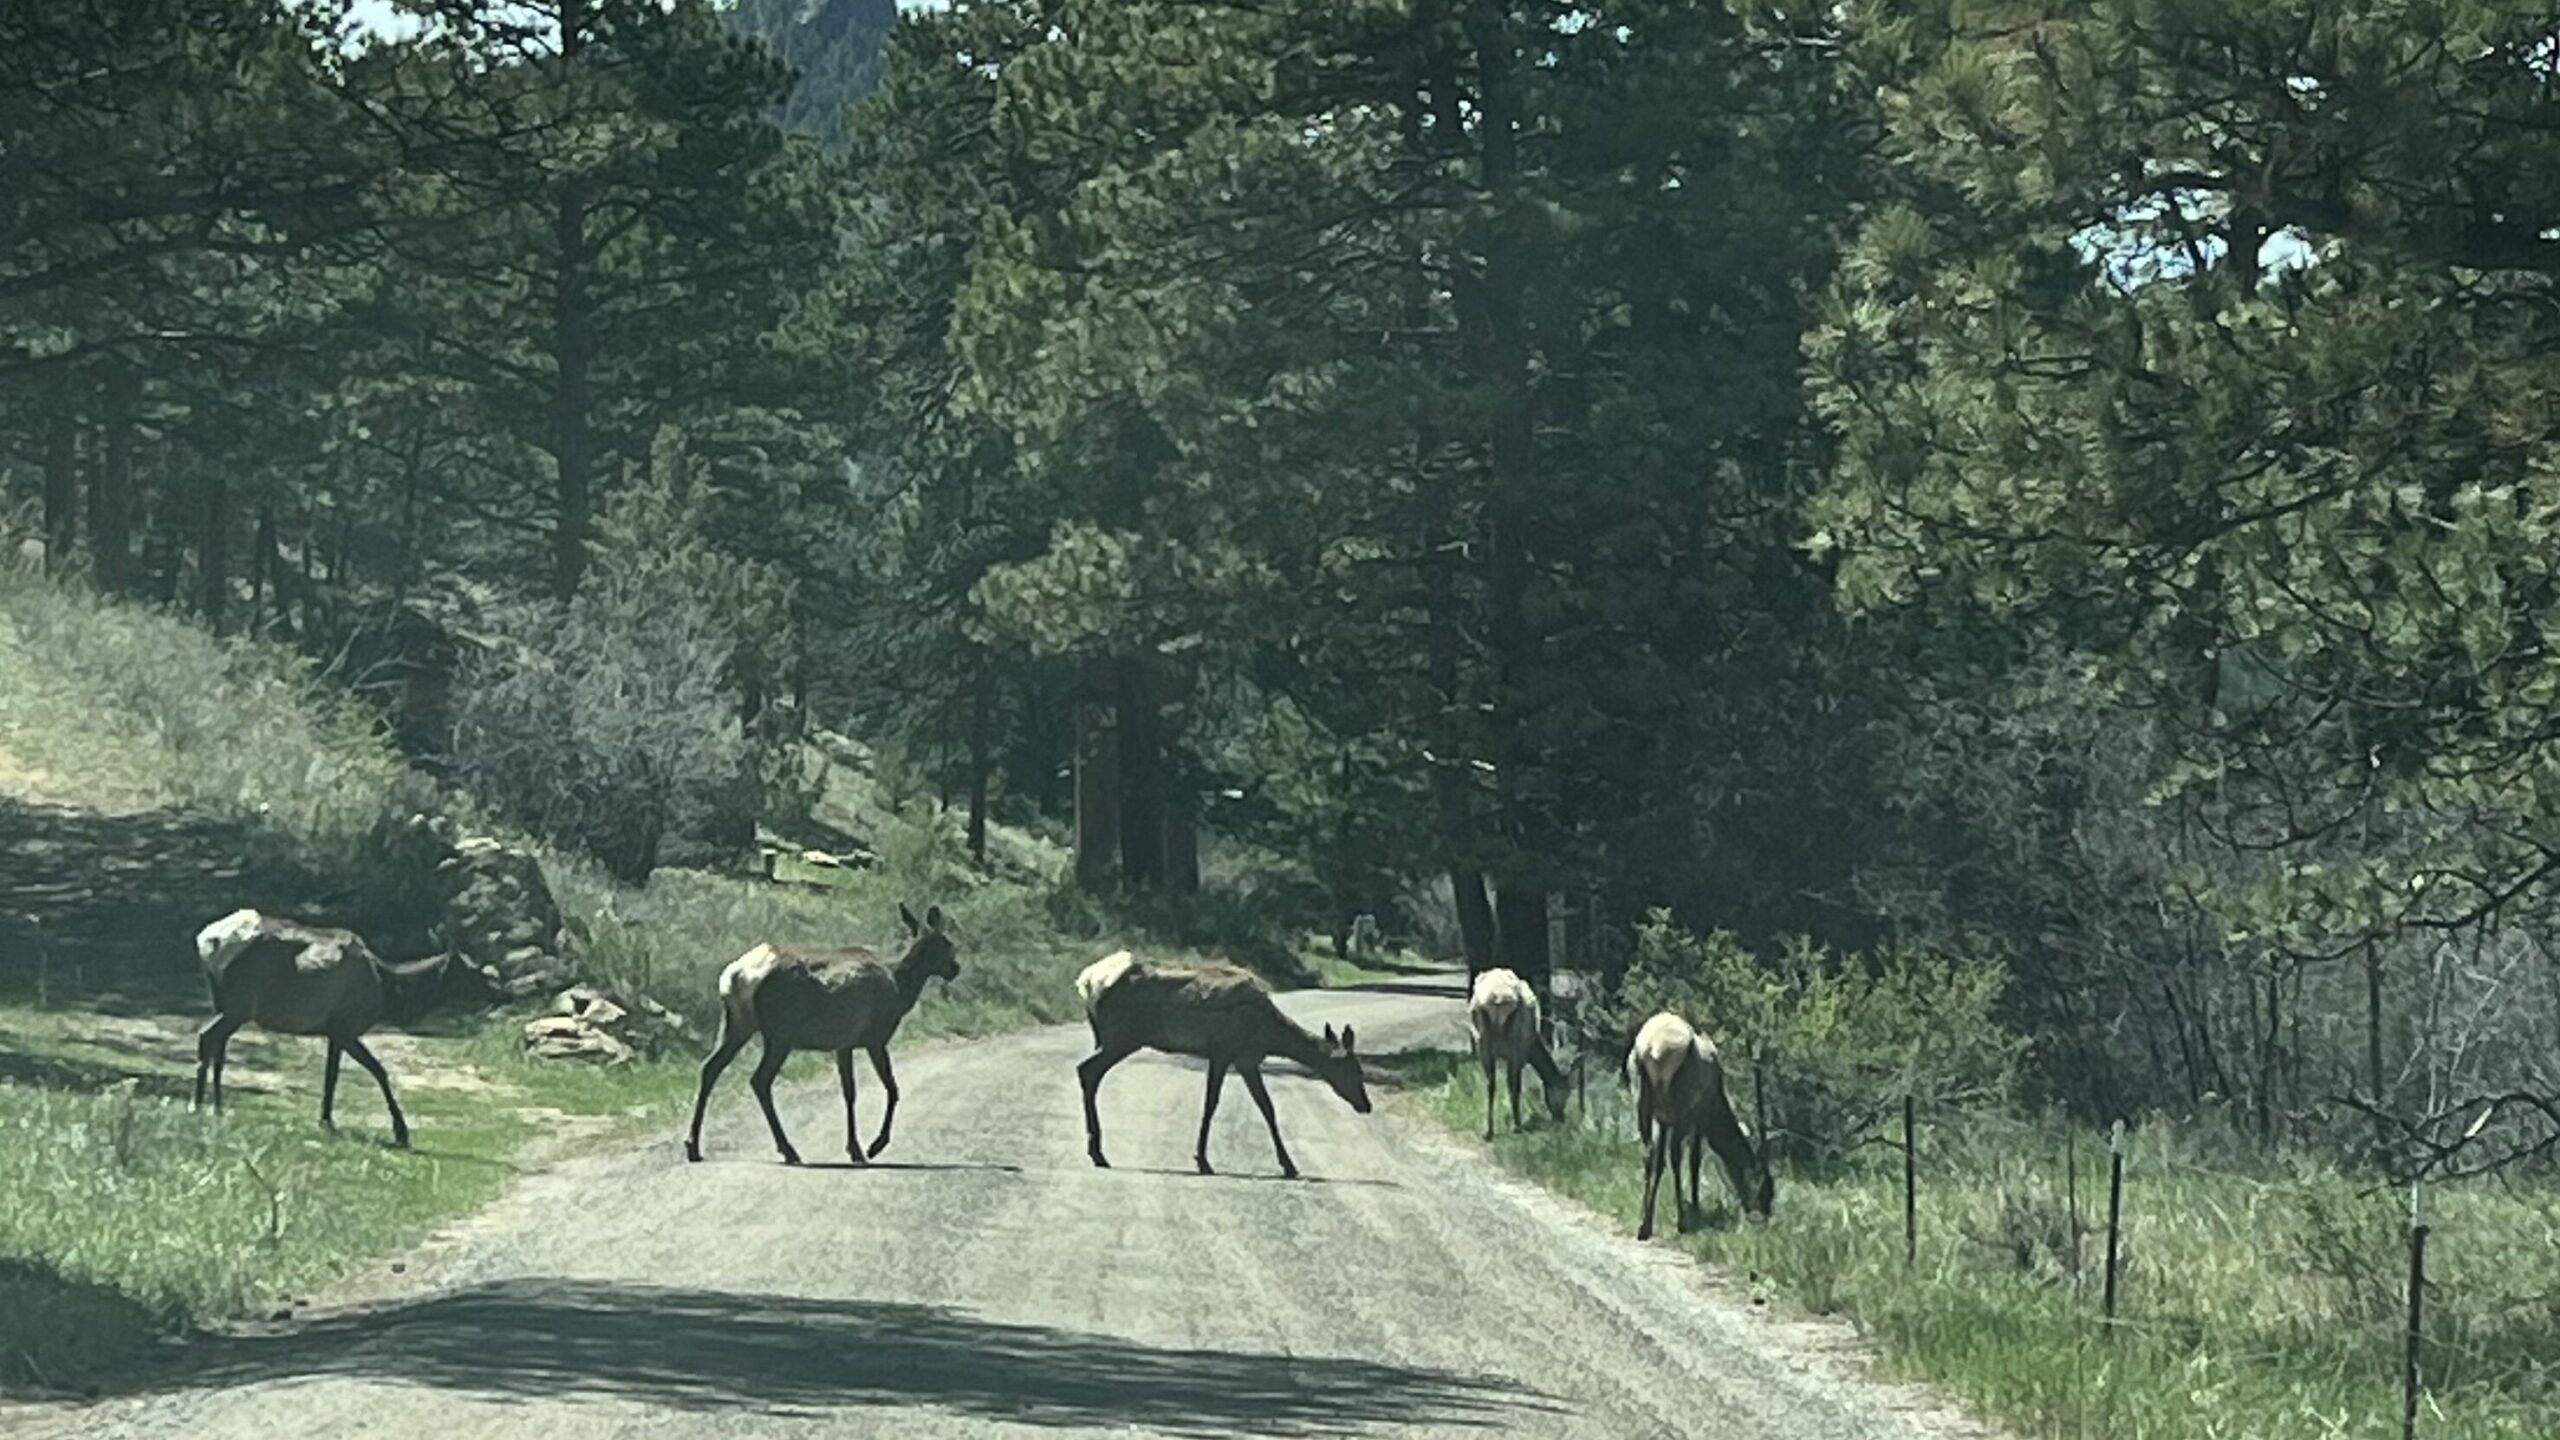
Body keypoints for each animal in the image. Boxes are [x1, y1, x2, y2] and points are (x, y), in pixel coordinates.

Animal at [193, 907, 471, 1142]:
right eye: (470, 971)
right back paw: (197, 1106)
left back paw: (217, 1107)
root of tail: (207, 941)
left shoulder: (334, 1034)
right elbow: (378, 1071)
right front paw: (400, 1131)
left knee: (218, 1046)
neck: (388, 991)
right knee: (207, 1037)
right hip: (239, 1006)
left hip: (225, 1004)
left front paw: (325, 1119)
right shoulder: (346, 1028)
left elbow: (331, 1076)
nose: (488, 985)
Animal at [680, 901, 962, 1158]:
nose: (955, 968)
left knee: (710, 1067)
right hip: (779, 1034)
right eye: (947, 943)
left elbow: (849, 1092)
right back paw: (788, 1150)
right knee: (759, 1079)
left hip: (737, 1024)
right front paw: (872, 1146)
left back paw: (693, 1146)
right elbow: (891, 1088)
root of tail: (737, 976)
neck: (900, 991)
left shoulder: (843, 1045)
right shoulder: (875, 1038)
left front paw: (854, 1147)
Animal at [1070, 948, 1372, 1173]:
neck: (1269, 1035)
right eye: (1353, 1070)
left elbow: (1267, 1108)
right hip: (1122, 1037)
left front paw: (1288, 1165)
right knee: (1087, 1070)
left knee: (1088, 1072)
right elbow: (1211, 1105)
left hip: (1118, 1038)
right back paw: (1098, 1153)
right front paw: (1202, 1160)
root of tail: (1087, 982)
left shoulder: (1246, 1061)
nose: (1366, 1105)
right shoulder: (1223, 1052)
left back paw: (1096, 1151)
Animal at [1474, 968, 1566, 1137]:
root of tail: (1497, 997)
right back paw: (1517, 1126)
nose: (1561, 1117)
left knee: (1490, 1084)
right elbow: (1517, 1085)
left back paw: (1488, 1131)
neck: (1532, 1048)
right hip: (1514, 1044)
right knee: (1511, 1085)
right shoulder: (1521, 1054)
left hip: (1481, 1041)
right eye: (1564, 1092)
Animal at [1628, 1009, 1771, 1235]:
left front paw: (1649, 1216)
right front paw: (1695, 1208)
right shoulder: (1697, 1118)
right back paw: (1682, 1221)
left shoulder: (1662, 1120)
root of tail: (1653, 1048)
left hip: (1642, 1100)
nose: (1763, 1216)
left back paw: (1644, 1224)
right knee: (1676, 1157)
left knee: (1648, 1152)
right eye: (1765, 1187)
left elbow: (1659, 1163)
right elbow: (1694, 1160)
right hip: (1680, 1108)